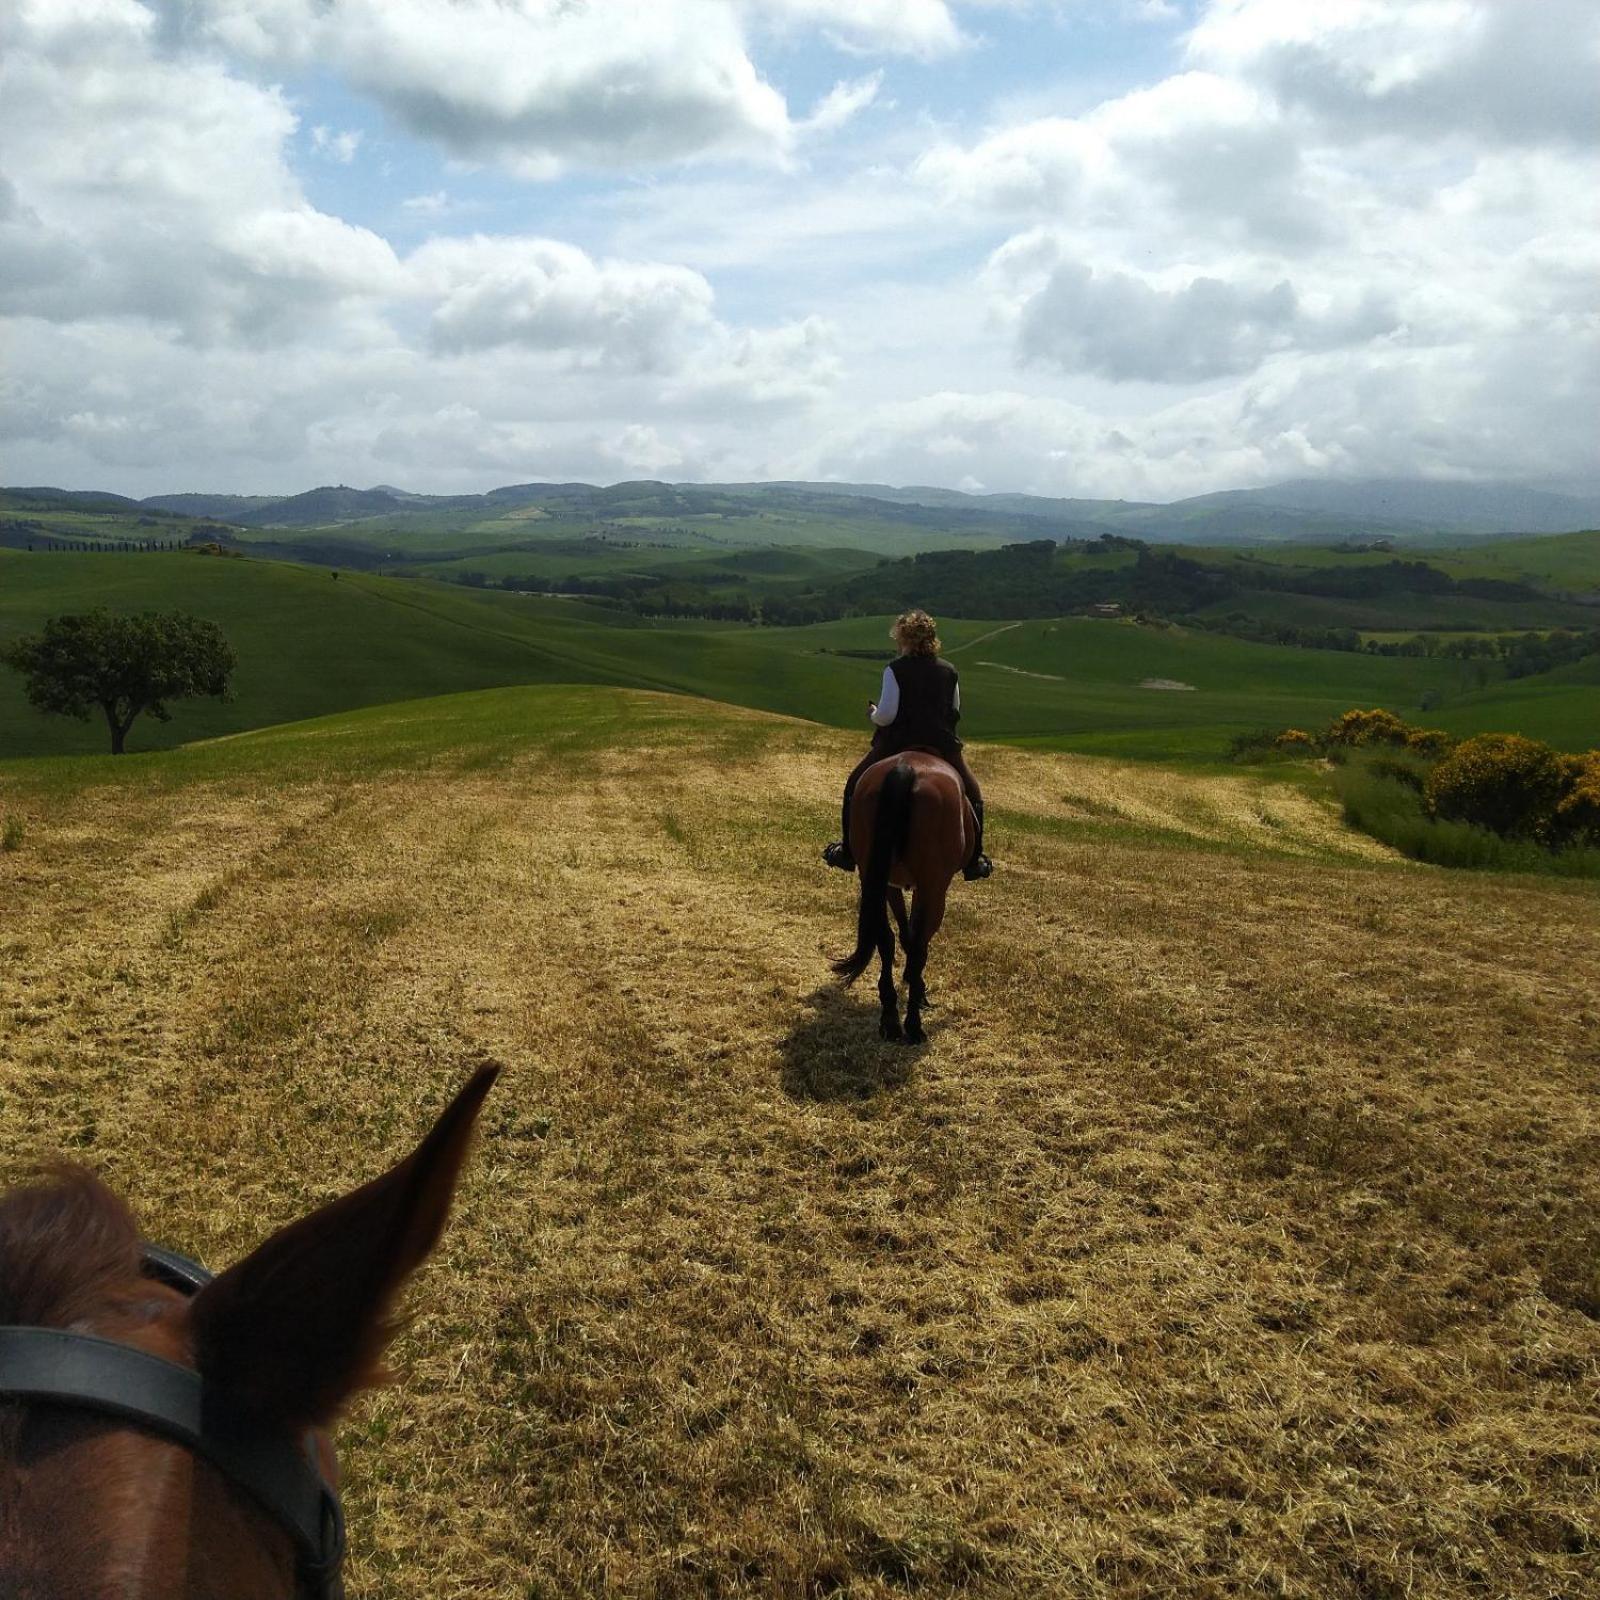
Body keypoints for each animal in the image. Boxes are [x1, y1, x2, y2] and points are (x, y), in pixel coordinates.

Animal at [838, 752, 972, 1043]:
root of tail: (906, 767)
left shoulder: (890, 883)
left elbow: (903, 934)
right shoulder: (928, 888)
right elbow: (915, 941)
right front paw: (918, 989)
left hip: (872, 875)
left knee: (885, 938)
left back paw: (890, 1019)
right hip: (934, 887)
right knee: (920, 946)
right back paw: (913, 1024)